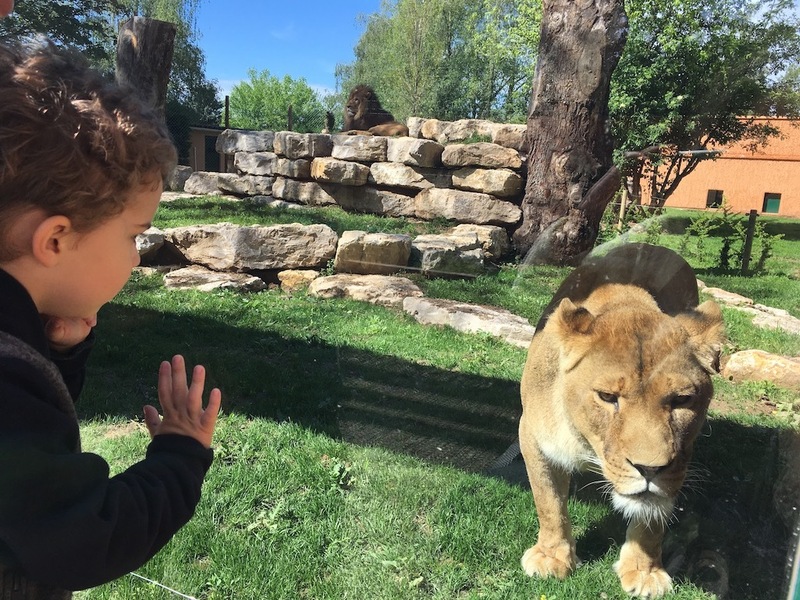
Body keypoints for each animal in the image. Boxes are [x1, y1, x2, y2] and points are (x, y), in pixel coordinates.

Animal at [520, 243, 724, 596]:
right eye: (607, 397)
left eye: (682, 400)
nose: (650, 469)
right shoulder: (532, 436)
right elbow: (549, 502)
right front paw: (552, 557)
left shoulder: (680, 458)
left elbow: (652, 519)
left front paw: (644, 572)